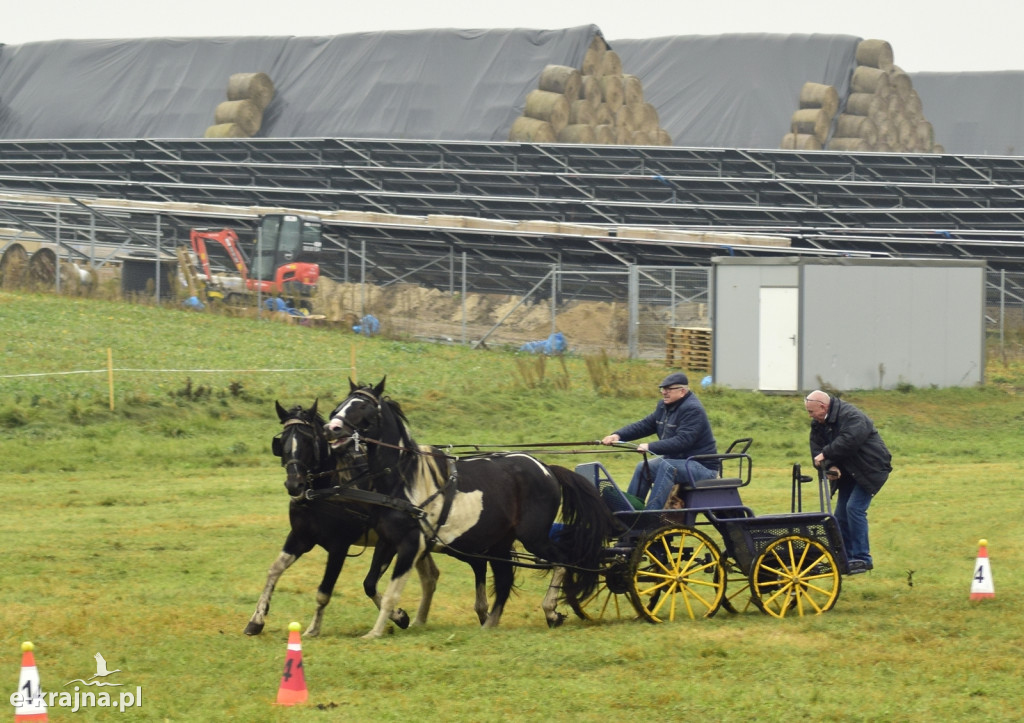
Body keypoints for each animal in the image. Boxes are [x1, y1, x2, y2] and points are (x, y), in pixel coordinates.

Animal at [247, 399, 440, 634]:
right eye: (282, 441)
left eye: (308, 440)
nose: (294, 485)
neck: (326, 489)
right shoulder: (300, 537)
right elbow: (274, 571)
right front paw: (256, 620)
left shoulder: (339, 546)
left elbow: (327, 591)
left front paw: (313, 629)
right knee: (430, 577)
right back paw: (419, 620)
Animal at [323, 376, 618, 634]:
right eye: (342, 403)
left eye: (362, 406)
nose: (330, 428)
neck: (404, 478)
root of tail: (546, 468)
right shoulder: (387, 541)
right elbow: (370, 584)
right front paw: (401, 617)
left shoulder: (410, 544)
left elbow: (392, 592)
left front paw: (375, 632)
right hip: (500, 543)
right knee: (505, 579)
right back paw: (490, 625)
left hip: (532, 537)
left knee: (562, 561)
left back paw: (551, 611)